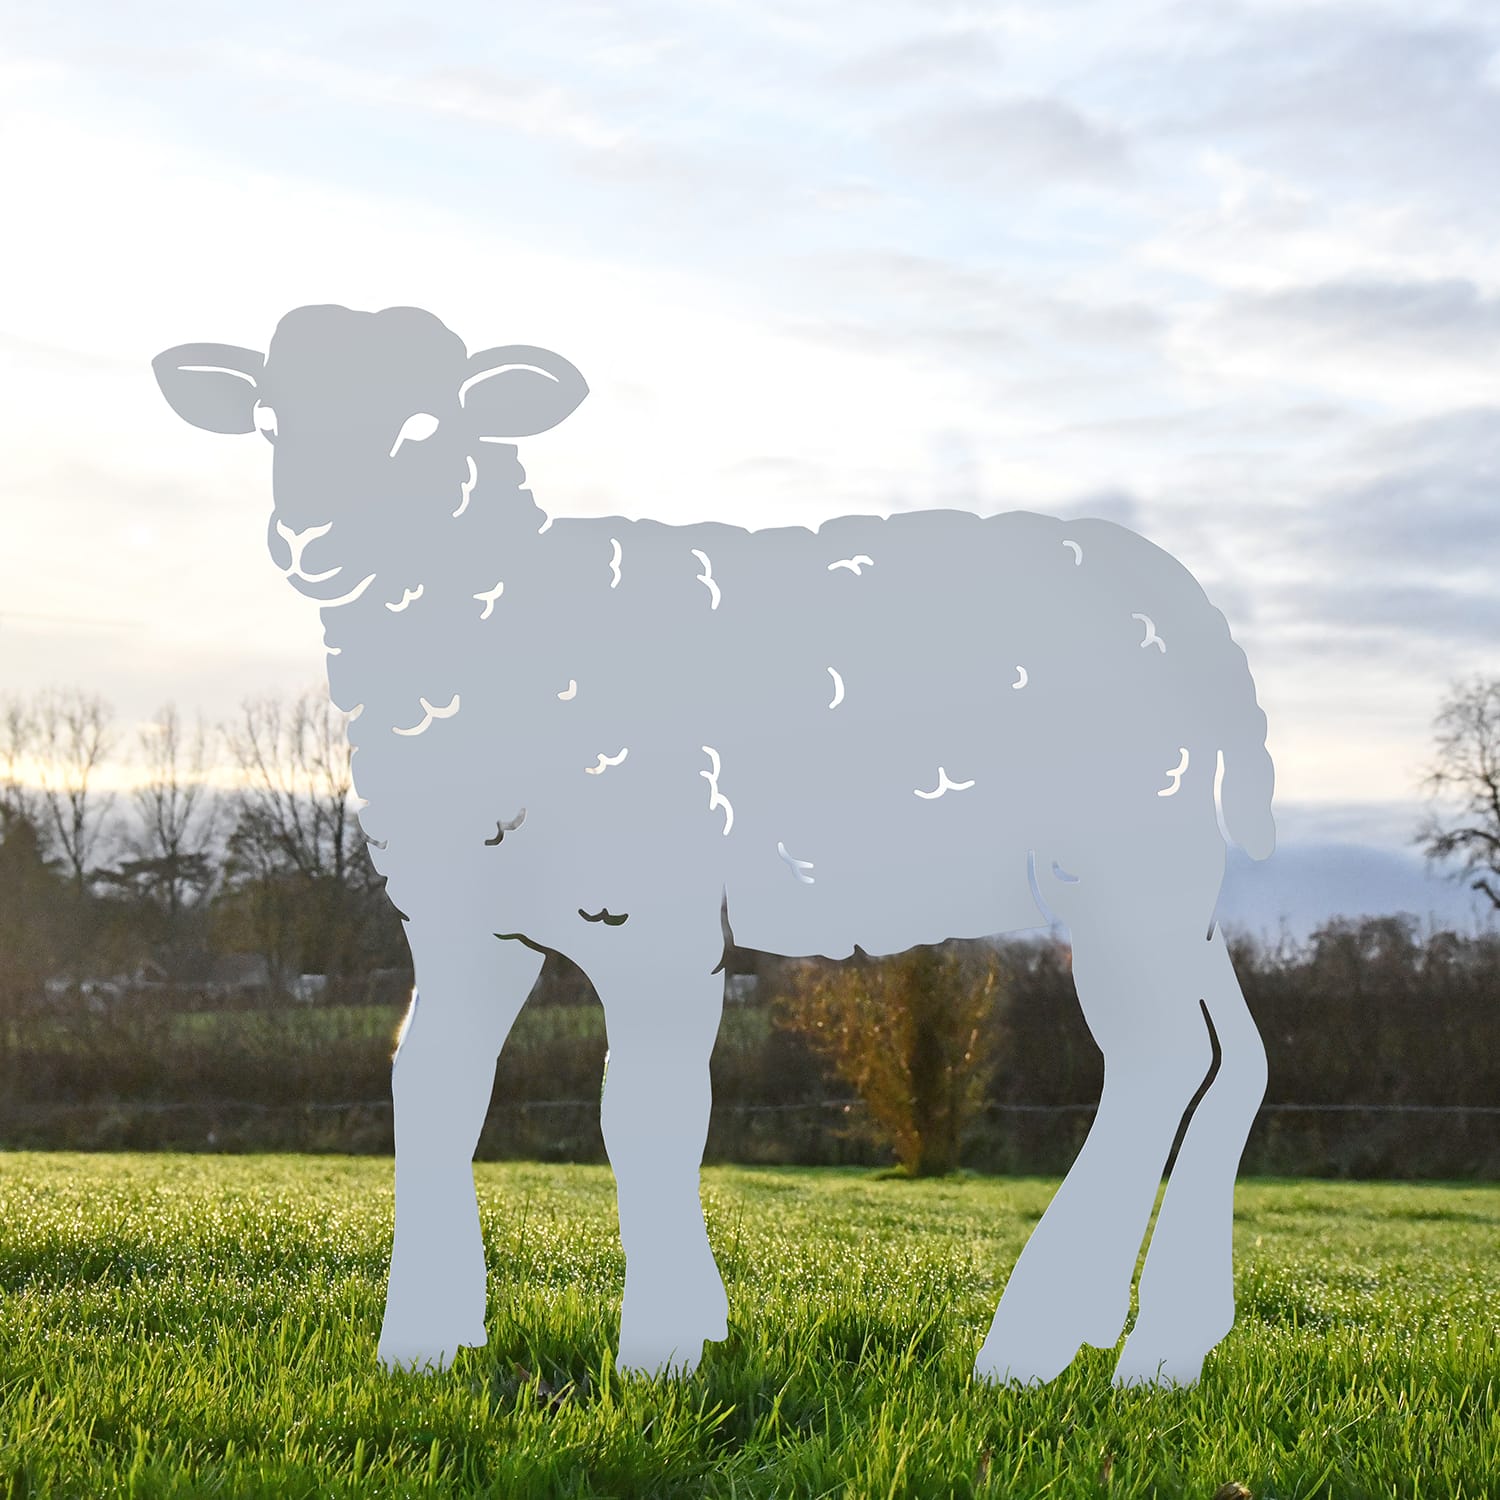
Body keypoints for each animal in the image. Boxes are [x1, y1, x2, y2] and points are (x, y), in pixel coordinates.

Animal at [153, 303, 1275, 1390]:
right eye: (267, 421)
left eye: (429, 423)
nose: (312, 538)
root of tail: (1189, 604)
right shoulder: (463, 917)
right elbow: (430, 1089)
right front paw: (422, 1347)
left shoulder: (650, 907)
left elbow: (642, 1113)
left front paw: (660, 1350)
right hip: (1171, 876)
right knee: (1234, 1059)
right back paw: (1160, 1345)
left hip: (1127, 854)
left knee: (1159, 1061)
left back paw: (1033, 1346)